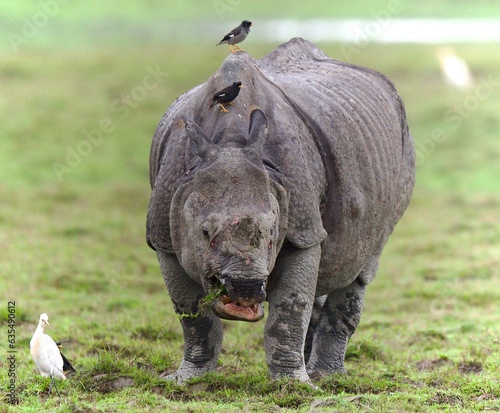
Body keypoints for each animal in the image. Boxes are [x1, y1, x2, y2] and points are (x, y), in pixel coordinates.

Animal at [146, 37, 416, 382]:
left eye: (274, 233)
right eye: (204, 232)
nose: (246, 287)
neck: (230, 144)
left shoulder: (303, 228)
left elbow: (290, 306)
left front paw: (293, 385)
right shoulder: (163, 233)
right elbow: (192, 313)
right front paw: (189, 379)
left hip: (399, 151)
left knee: (361, 267)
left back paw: (326, 377)